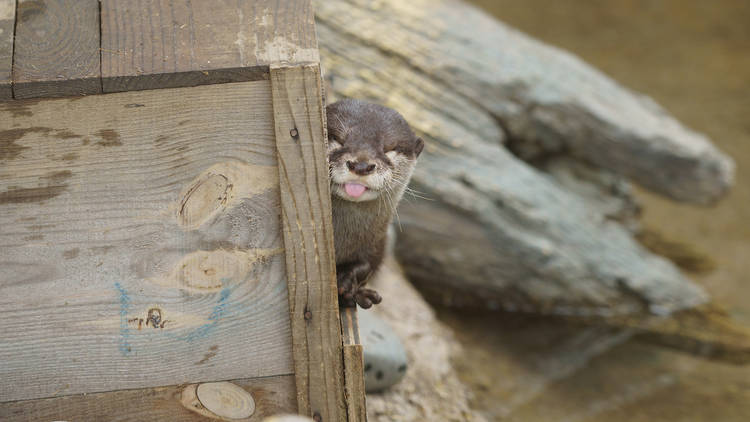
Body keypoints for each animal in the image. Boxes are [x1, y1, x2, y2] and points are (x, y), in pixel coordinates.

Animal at [328, 100, 426, 308]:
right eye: (338, 139)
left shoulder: (378, 242)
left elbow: (370, 264)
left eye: (389, 148)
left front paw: (347, 279)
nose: (361, 165)